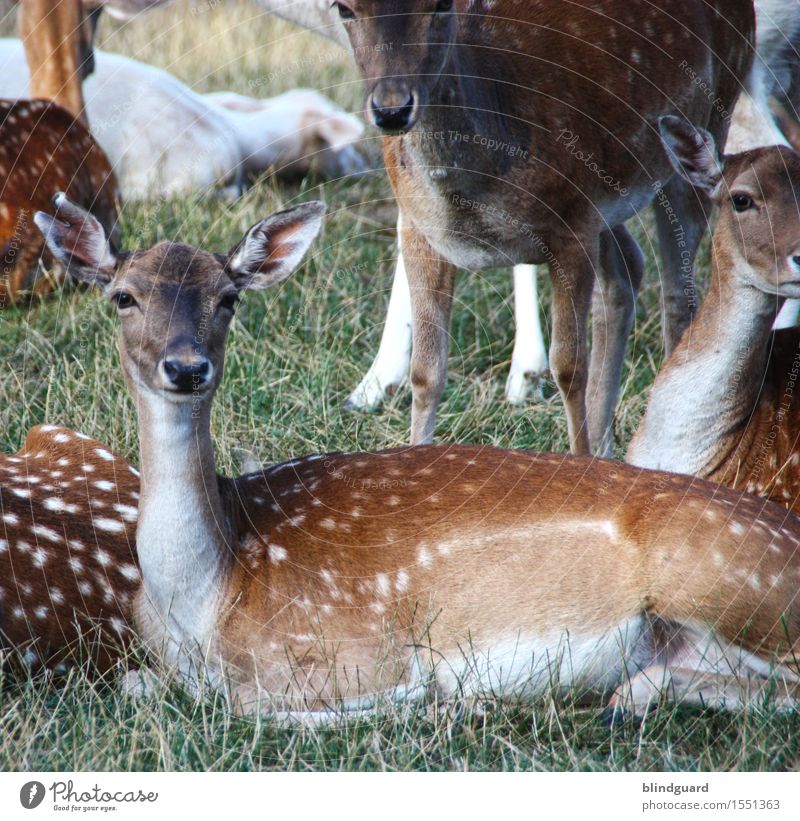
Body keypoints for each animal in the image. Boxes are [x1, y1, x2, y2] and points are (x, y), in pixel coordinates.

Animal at [34, 195, 800, 720]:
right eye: (123, 296)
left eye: (227, 298)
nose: (186, 367)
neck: (202, 598)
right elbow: (139, 681)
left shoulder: (341, 650)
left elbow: (256, 707)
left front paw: (423, 697)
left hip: (722, 576)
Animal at [332, 0, 756, 454]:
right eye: (344, 8)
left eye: (442, 5)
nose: (392, 109)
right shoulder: (418, 228)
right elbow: (426, 372)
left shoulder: (573, 224)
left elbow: (569, 366)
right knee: (627, 268)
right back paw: (605, 448)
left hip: (711, 118)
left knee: (677, 295)